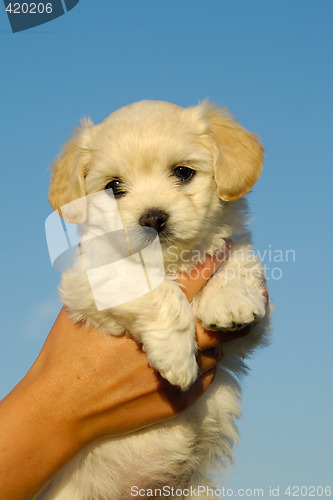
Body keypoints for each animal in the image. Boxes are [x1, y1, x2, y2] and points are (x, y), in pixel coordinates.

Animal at [40, 100, 272, 500]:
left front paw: (230, 302)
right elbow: (157, 289)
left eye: (183, 172)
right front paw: (178, 358)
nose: (152, 218)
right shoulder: (89, 280)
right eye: (113, 187)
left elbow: (237, 259)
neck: (170, 263)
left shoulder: (251, 328)